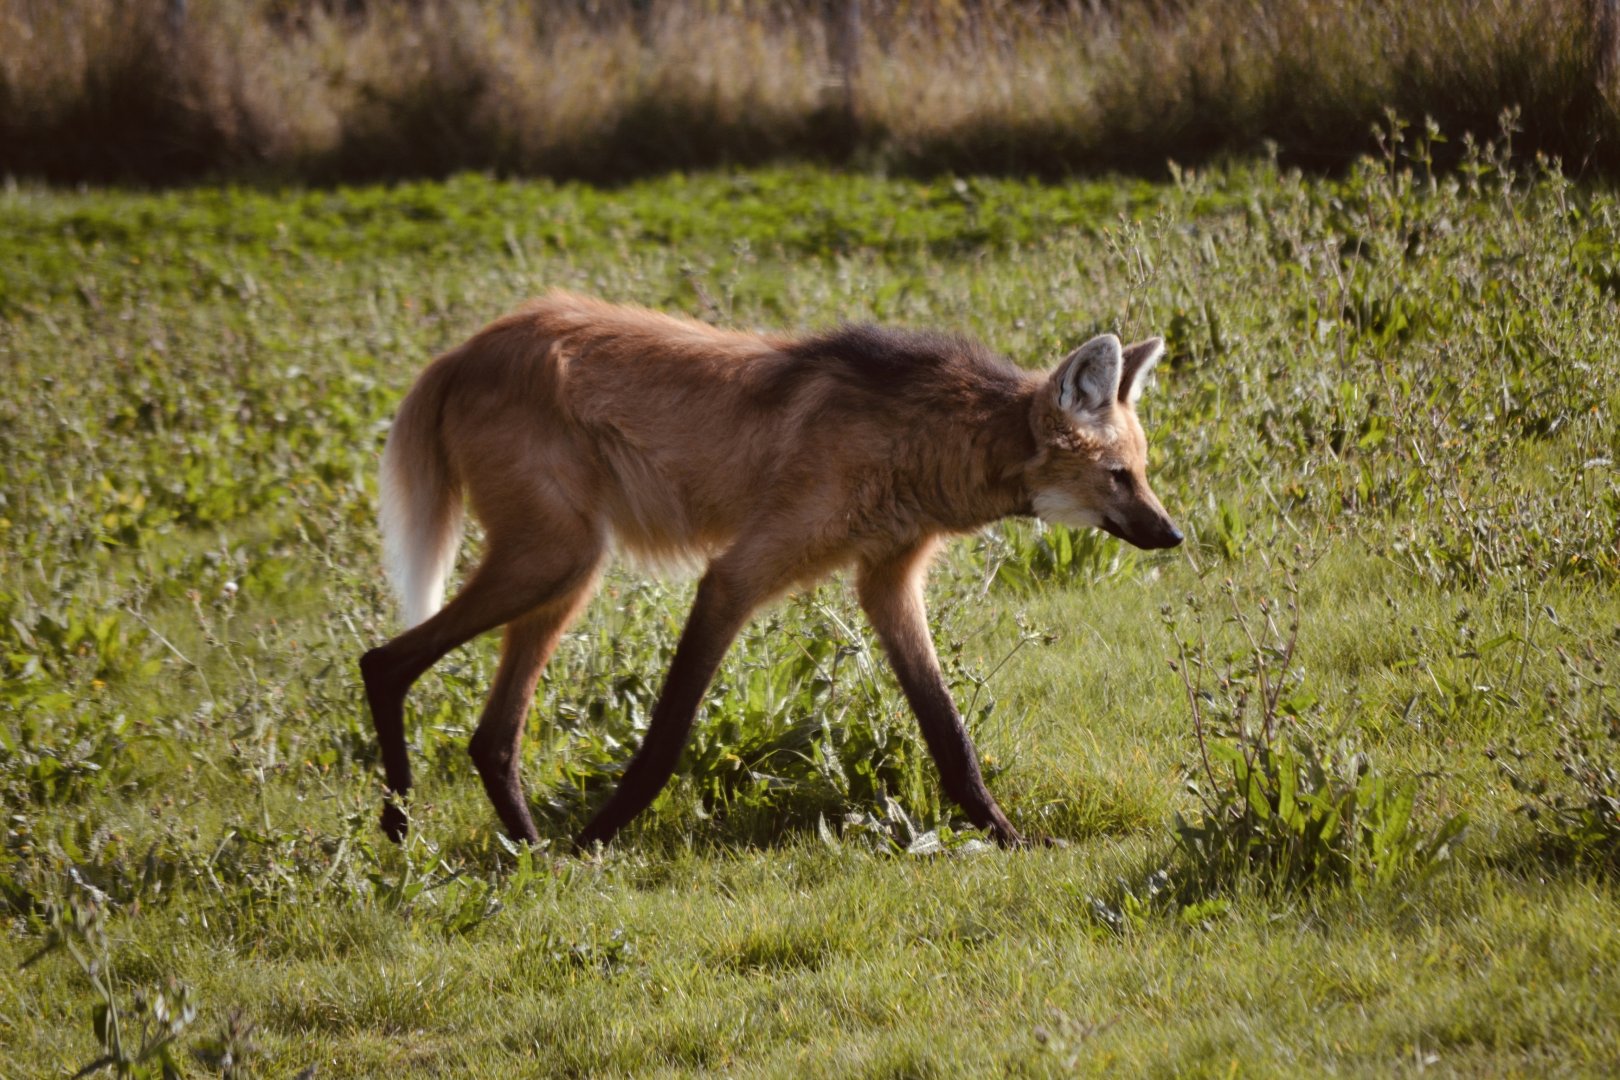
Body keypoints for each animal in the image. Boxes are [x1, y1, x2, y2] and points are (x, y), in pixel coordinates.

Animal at [359, 291, 1181, 849]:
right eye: (1117, 477)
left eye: (1140, 473)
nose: (1171, 534)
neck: (925, 444)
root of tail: (461, 353)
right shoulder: (737, 576)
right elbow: (665, 738)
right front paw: (596, 840)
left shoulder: (886, 582)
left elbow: (949, 734)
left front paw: (1009, 839)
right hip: (555, 559)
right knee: (384, 662)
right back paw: (411, 832)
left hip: (563, 571)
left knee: (490, 735)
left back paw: (525, 850)